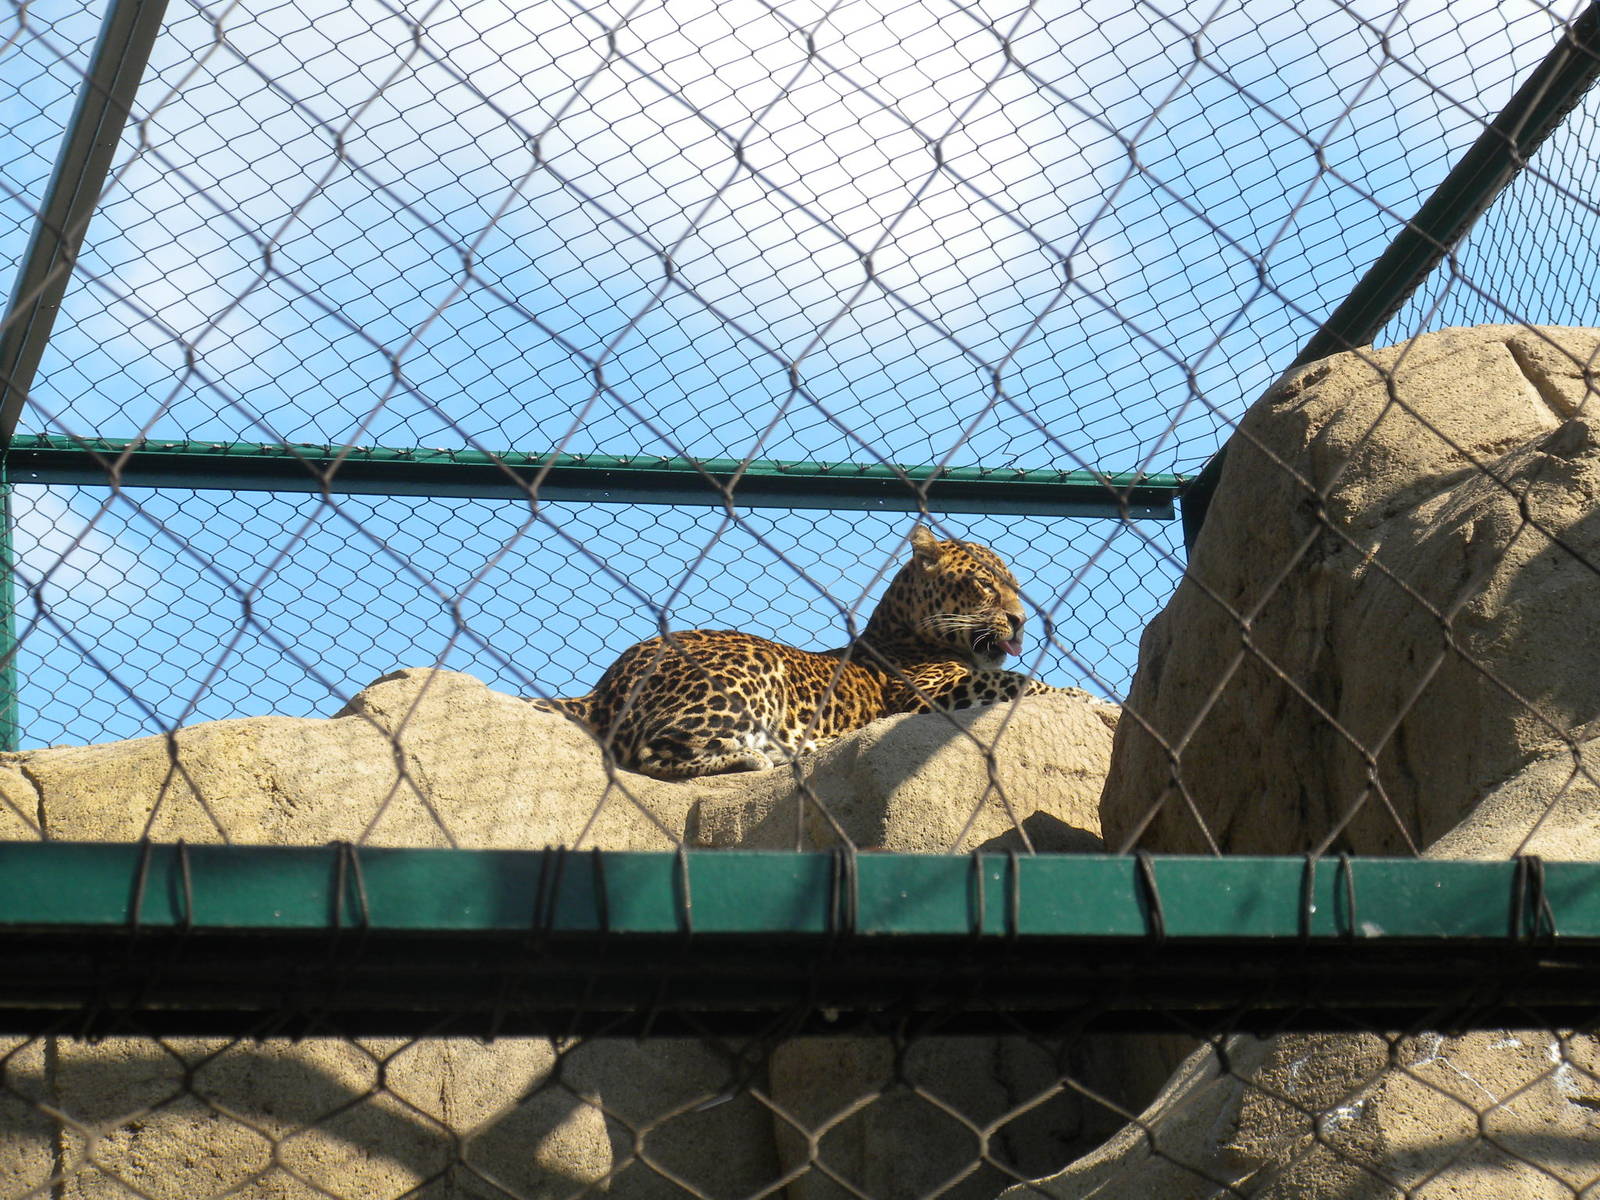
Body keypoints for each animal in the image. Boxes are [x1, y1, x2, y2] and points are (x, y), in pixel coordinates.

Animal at [528, 525, 1065, 780]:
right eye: (984, 584)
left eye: (1015, 586)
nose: (1021, 620)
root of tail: (602, 686)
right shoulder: (929, 693)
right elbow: (1022, 682)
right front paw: (1078, 698)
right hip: (751, 666)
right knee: (651, 753)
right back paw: (756, 759)